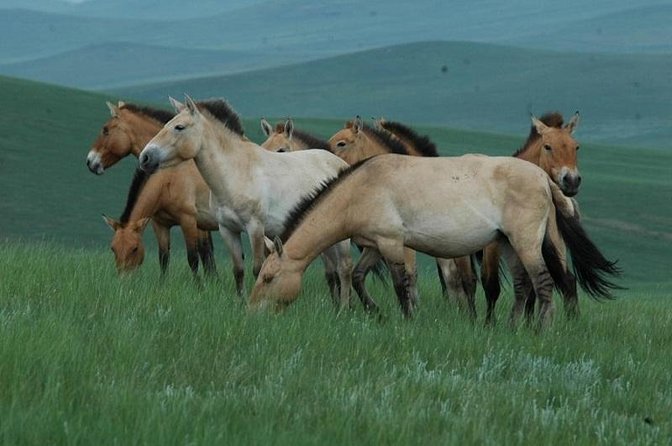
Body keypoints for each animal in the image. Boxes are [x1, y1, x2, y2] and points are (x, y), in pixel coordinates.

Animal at [88, 101, 217, 276]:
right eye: (112, 249)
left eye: (105, 130)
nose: (89, 161)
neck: (170, 177)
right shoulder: (160, 223)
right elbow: (164, 259)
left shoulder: (192, 220)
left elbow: (199, 256)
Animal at [138, 96, 354, 307]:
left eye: (179, 127)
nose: (145, 157)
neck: (236, 172)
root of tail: (341, 163)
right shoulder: (228, 230)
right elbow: (238, 270)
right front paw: (240, 303)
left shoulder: (255, 228)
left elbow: (257, 269)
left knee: (344, 268)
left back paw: (344, 308)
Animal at [249, 154, 621, 330]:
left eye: (268, 277)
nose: (251, 312)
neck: (362, 189)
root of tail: (544, 177)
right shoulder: (375, 245)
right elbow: (357, 278)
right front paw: (376, 312)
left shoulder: (392, 244)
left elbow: (400, 285)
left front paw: (407, 320)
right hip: (508, 245)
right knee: (522, 287)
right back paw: (512, 327)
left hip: (527, 243)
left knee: (543, 284)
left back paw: (540, 330)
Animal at [481, 112, 582, 324]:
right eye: (548, 146)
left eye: (576, 147)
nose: (571, 181)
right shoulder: (492, 246)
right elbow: (491, 285)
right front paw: (489, 324)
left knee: (565, 280)